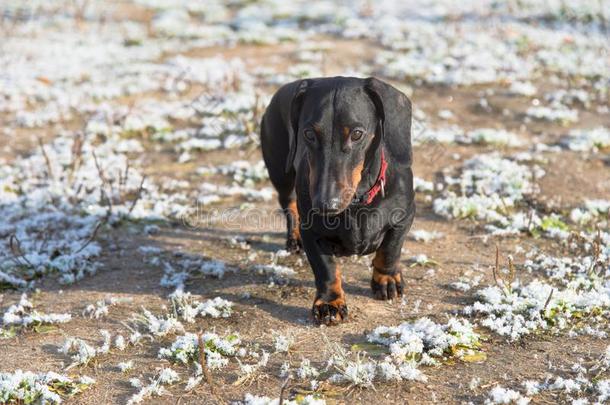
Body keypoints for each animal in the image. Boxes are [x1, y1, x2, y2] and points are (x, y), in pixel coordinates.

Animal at [258, 76, 416, 326]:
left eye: (357, 134)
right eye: (309, 134)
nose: (325, 205)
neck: (356, 203)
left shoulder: (405, 216)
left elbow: (391, 249)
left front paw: (386, 279)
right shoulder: (312, 232)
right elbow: (326, 269)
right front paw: (329, 303)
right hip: (281, 175)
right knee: (289, 205)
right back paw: (293, 238)